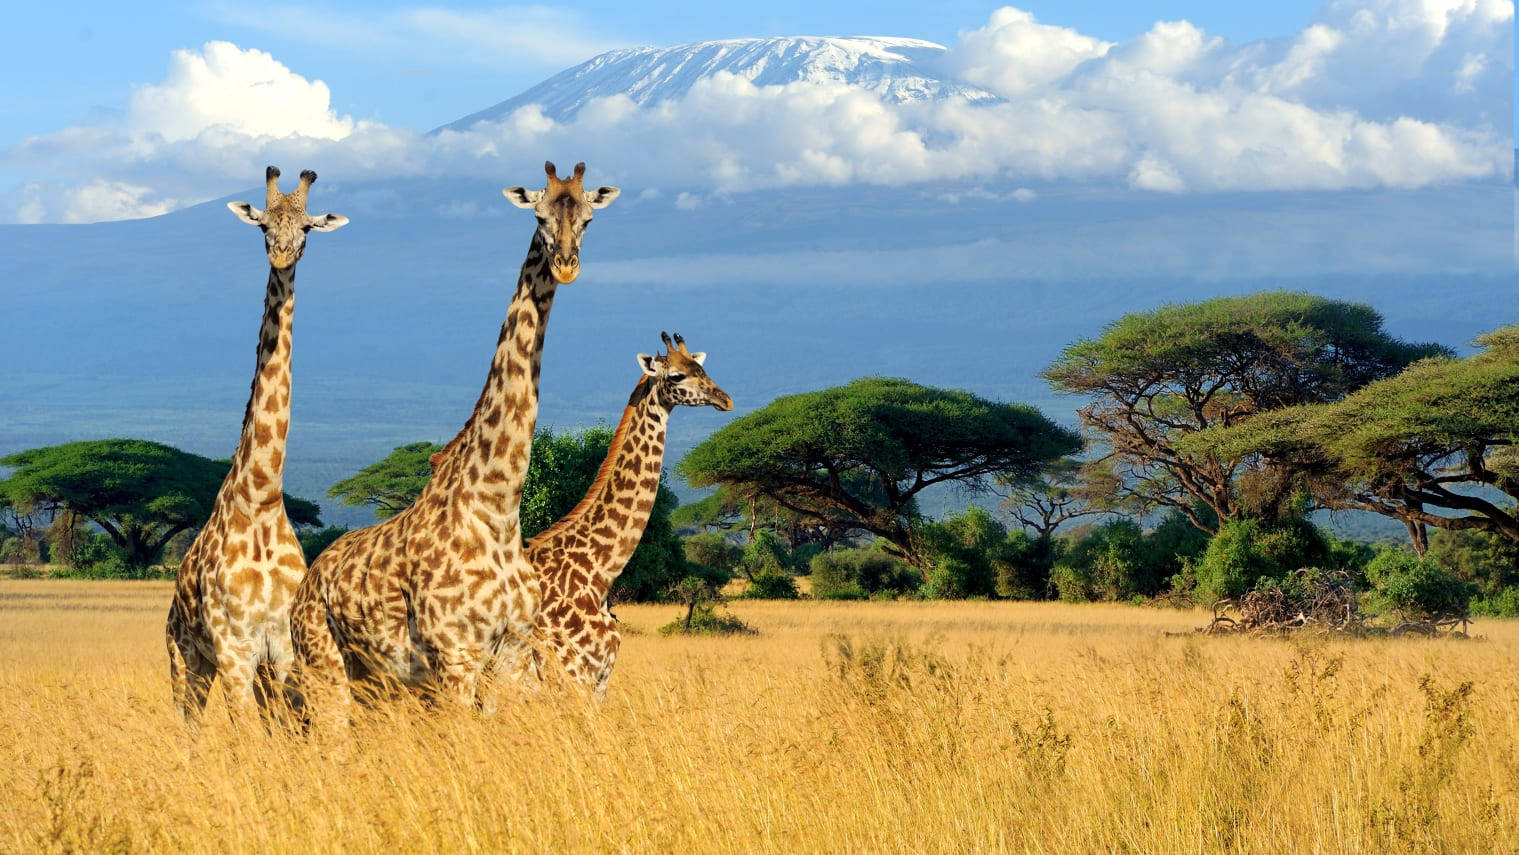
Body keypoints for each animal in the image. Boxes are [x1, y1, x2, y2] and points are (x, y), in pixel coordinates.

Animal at [165, 166, 348, 727]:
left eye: (307, 228)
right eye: (264, 225)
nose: (283, 255)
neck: (263, 498)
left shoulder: (283, 649)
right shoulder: (234, 649)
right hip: (185, 659)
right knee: (188, 725)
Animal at [291, 161, 619, 728]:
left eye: (589, 219)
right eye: (538, 215)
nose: (566, 265)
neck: (497, 506)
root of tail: (306, 585)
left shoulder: (511, 655)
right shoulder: (456, 656)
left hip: (373, 680)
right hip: (323, 663)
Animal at [510, 332, 733, 697]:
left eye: (702, 368)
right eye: (677, 376)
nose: (725, 400)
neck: (598, 574)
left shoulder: (599, 681)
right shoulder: (572, 676)